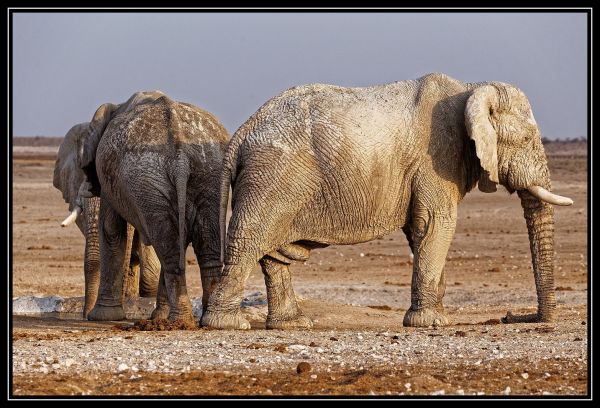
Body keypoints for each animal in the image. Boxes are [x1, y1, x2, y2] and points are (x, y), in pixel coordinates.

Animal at [78, 93, 229, 326]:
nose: (86, 316)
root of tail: (180, 156)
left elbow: (111, 230)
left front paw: (101, 317)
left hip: (148, 180)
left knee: (169, 249)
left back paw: (180, 322)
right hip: (208, 170)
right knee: (201, 246)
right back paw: (200, 319)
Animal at [204, 71, 576, 330]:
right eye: (526, 139)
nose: (515, 316)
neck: (471, 88)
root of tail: (240, 133)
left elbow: (421, 232)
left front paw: (436, 317)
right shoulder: (436, 158)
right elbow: (436, 224)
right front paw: (433, 323)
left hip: (275, 182)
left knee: (274, 255)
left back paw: (293, 325)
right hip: (272, 177)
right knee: (250, 241)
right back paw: (229, 325)